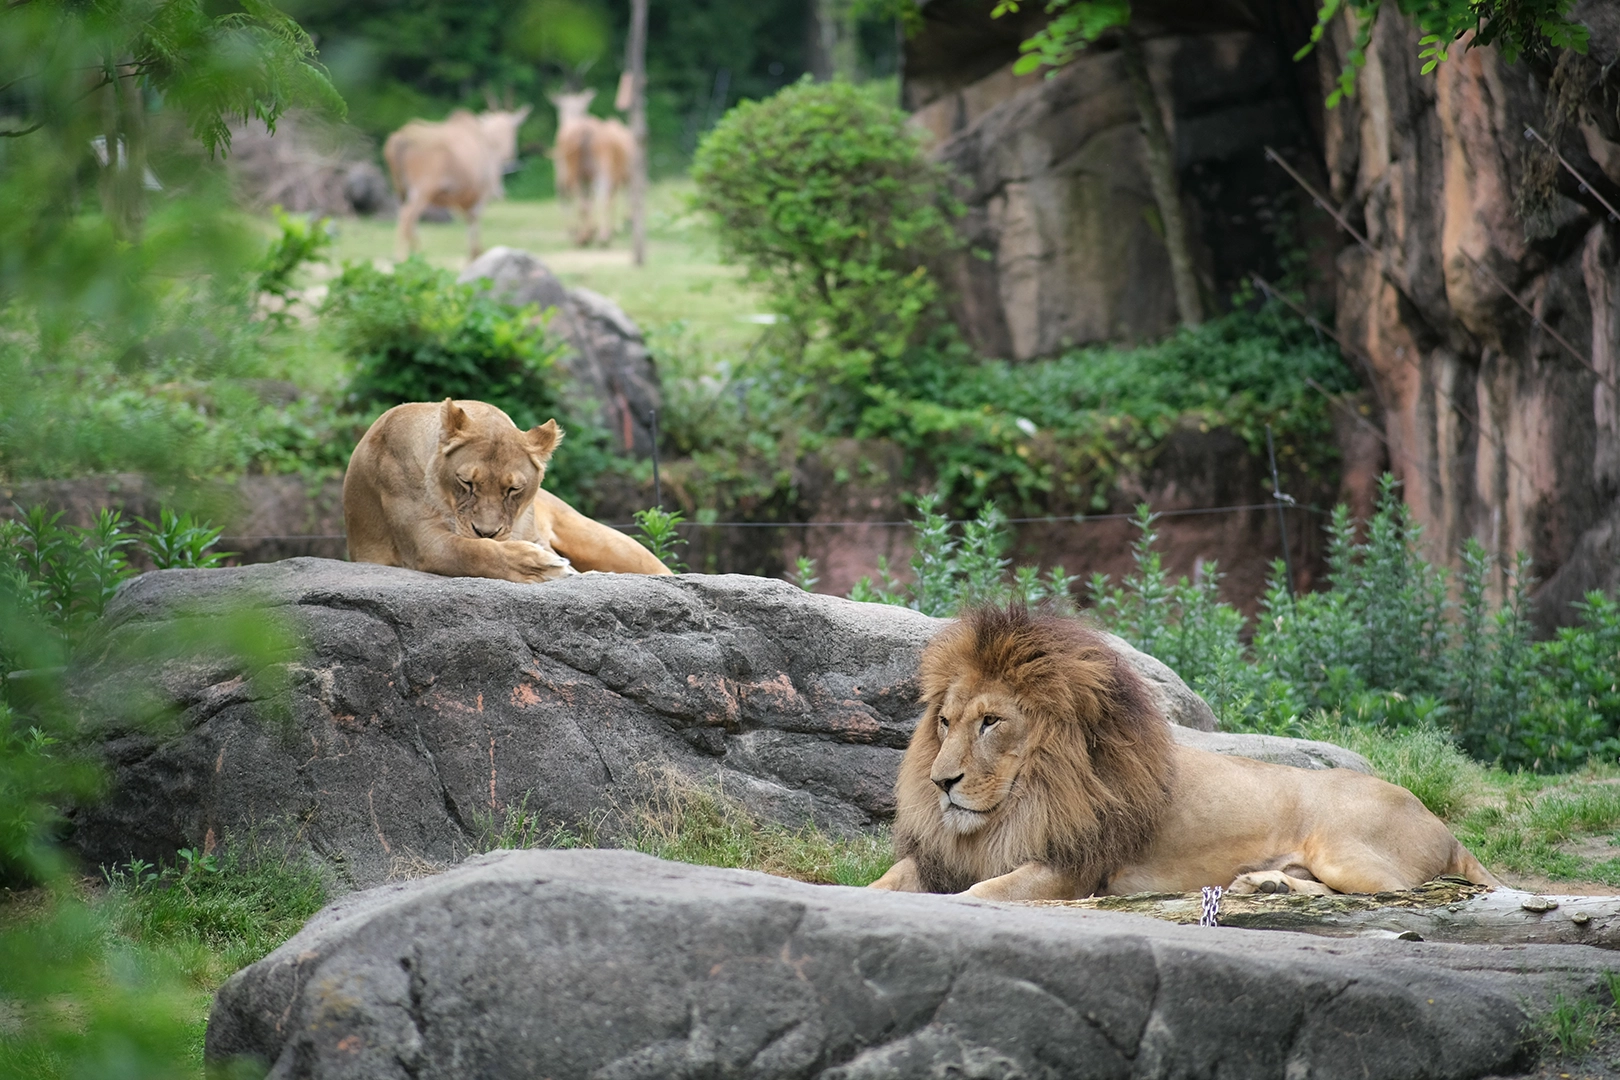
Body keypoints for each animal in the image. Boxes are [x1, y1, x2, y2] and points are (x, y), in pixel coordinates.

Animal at [343, 399, 671, 582]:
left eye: (513, 489)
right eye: (466, 482)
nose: (486, 532)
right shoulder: (423, 542)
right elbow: (474, 552)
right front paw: (544, 566)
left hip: (602, 540)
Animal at [868, 605, 1498, 902]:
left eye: (991, 722)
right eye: (944, 723)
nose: (941, 782)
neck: (1017, 805)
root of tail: (1441, 824)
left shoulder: (1071, 870)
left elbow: (985, 891)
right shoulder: (940, 859)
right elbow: (883, 883)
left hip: (1346, 849)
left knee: (1404, 889)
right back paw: (1265, 886)